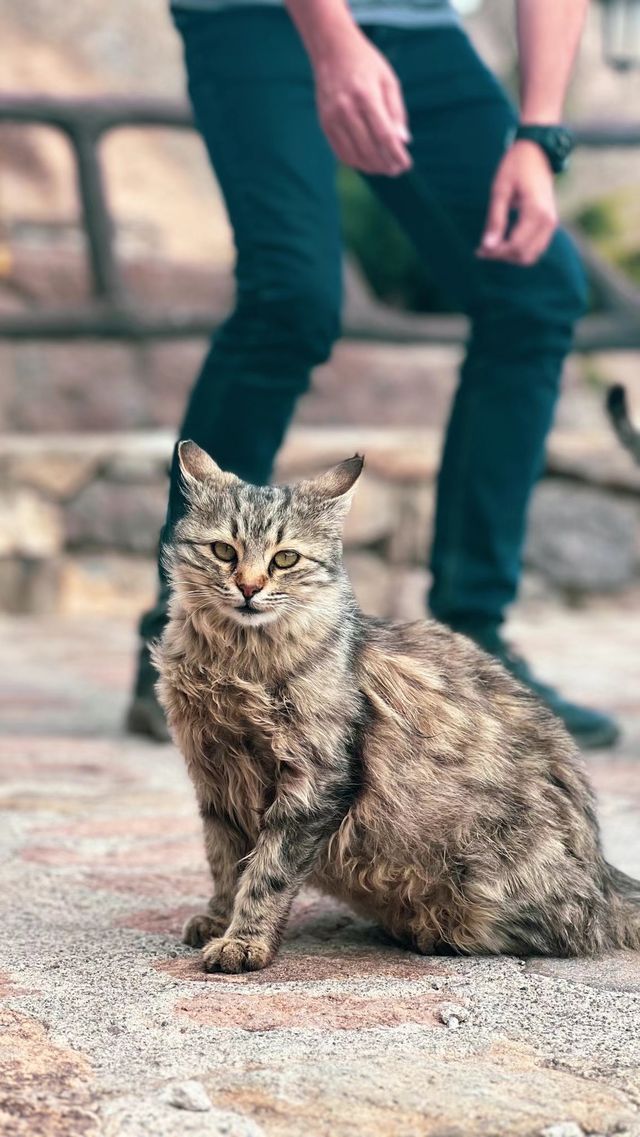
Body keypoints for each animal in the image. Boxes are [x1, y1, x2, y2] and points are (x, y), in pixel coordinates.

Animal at [155, 438, 640, 973]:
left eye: (285, 559)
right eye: (224, 551)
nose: (249, 587)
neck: (237, 663)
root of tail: (605, 874)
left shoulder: (315, 779)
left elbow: (267, 873)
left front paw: (244, 941)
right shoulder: (215, 778)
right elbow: (225, 864)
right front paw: (218, 920)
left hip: (489, 886)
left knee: (571, 931)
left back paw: (429, 933)